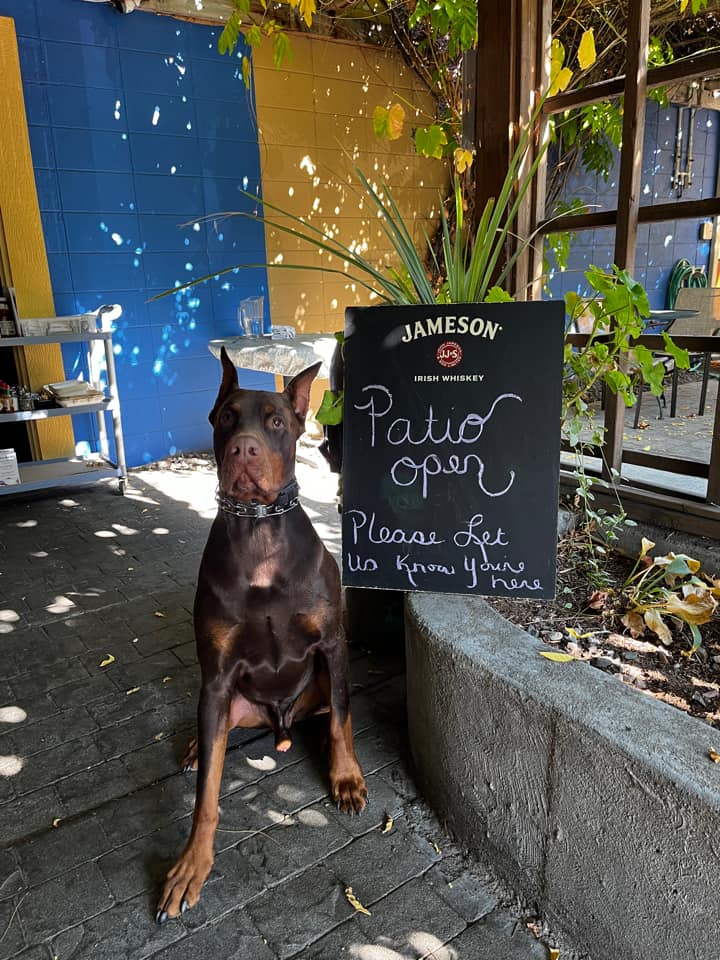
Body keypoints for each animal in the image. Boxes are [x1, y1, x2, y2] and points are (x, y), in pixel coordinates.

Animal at [157, 348, 366, 920]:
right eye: (227, 416)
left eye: (275, 421)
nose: (244, 448)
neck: (260, 533)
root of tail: (280, 721)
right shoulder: (216, 674)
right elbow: (207, 793)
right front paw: (191, 865)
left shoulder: (332, 644)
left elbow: (342, 722)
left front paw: (345, 776)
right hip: (227, 701)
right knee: (216, 734)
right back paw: (195, 746)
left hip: (318, 683)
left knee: (331, 712)